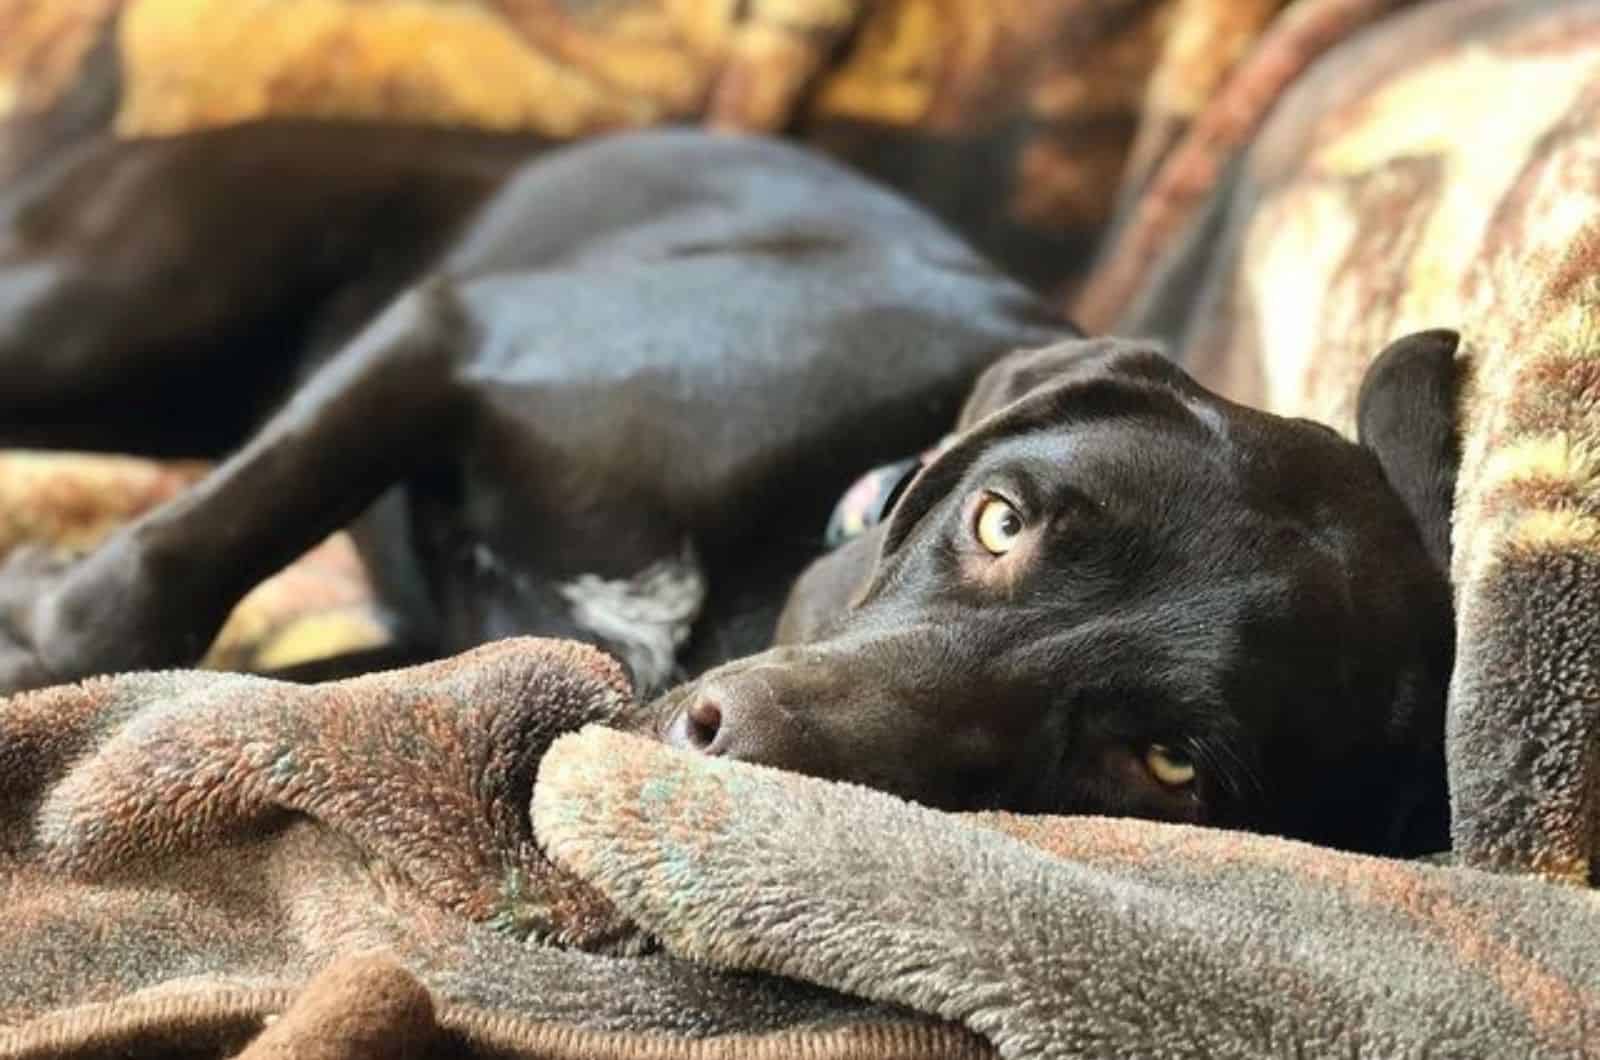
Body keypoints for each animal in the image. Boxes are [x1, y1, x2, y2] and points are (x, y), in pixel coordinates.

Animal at [0, 126, 1459, 858]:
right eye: (1001, 519)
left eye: (1165, 765)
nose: (722, 741)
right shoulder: (452, 330)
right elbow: (166, 575)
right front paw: (43, 644)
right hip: (113, 310)